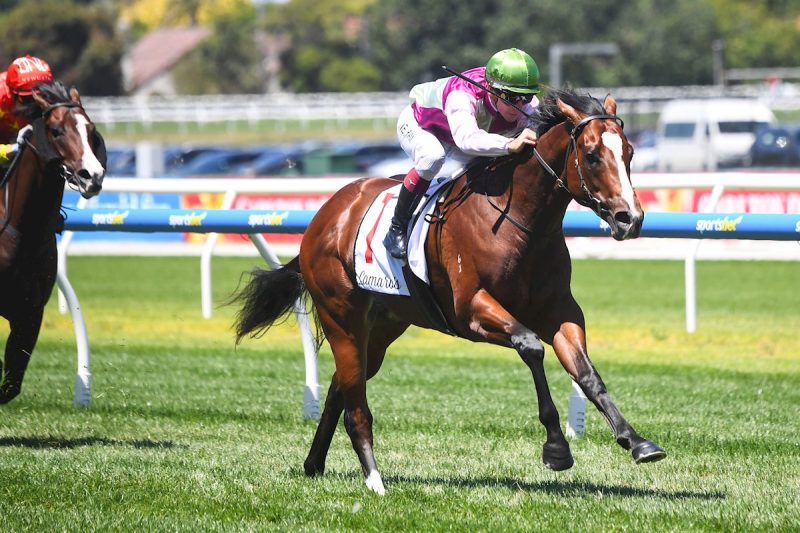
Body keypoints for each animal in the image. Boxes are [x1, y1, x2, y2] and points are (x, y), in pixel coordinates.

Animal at [0, 81, 105, 404]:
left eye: (91, 129)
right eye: (56, 130)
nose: (92, 176)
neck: (23, 232)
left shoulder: (31, 313)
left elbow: (11, 384)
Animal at [234, 88, 665, 495]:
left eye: (628, 152)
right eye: (592, 156)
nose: (630, 218)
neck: (519, 221)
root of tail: (324, 215)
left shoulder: (560, 311)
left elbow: (586, 373)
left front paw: (637, 441)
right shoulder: (471, 310)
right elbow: (531, 346)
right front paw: (557, 447)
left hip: (382, 328)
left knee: (342, 387)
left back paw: (315, 463)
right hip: (341, 318)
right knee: (356, 404)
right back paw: (374, 480)